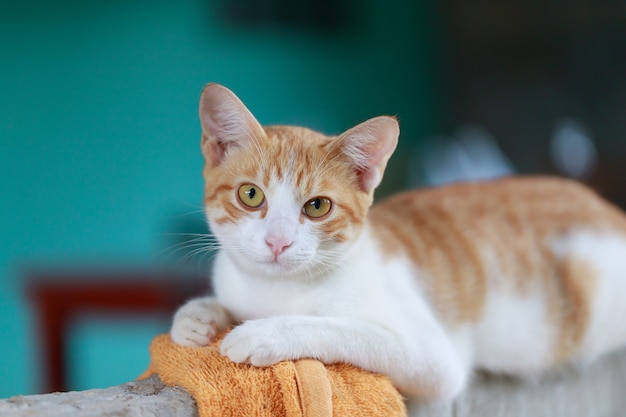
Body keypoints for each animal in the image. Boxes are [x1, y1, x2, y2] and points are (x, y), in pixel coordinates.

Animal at [168, 83, 624, 404]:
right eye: (250, 195)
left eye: (317, 206)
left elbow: (340, 328)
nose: (278, 242)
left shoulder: (433, 356)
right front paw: (197, 317)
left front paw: (265, 333)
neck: (277, 289)